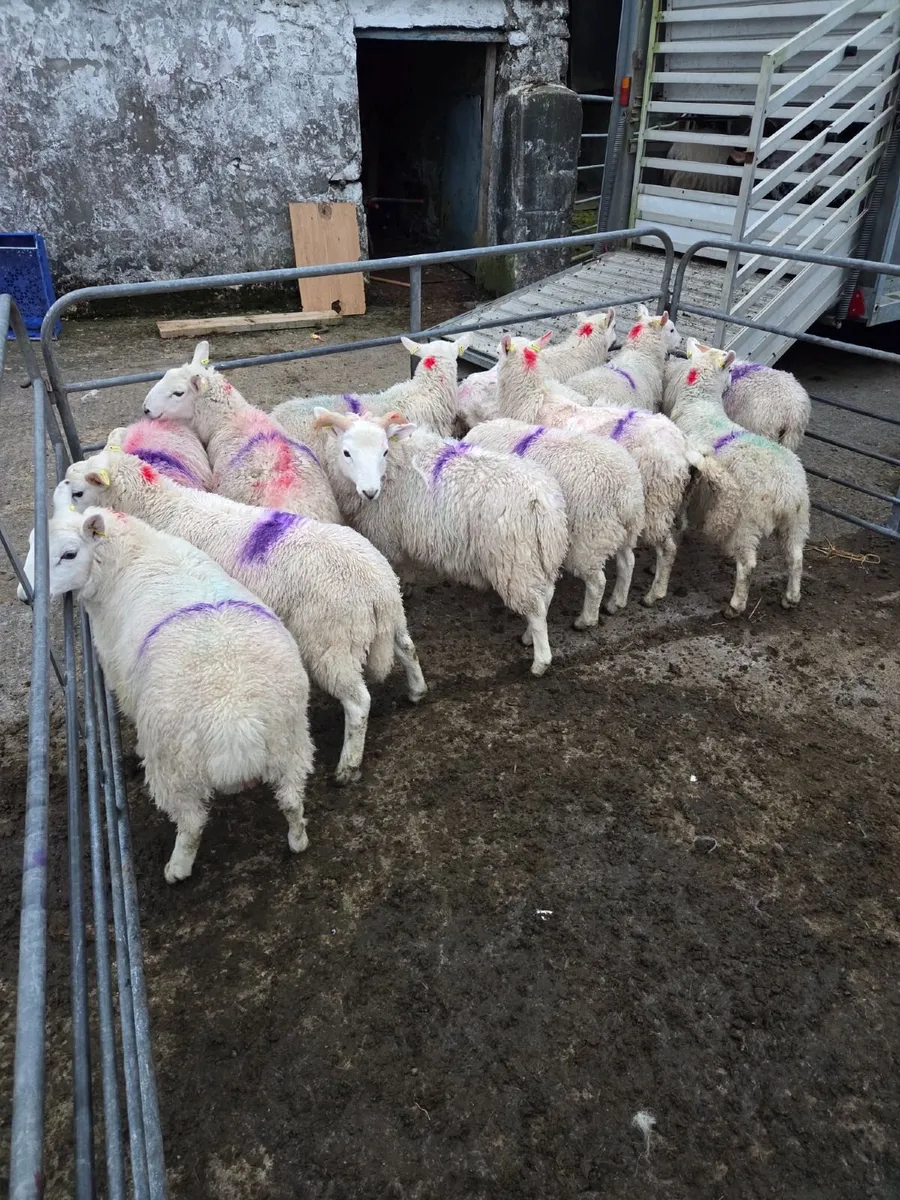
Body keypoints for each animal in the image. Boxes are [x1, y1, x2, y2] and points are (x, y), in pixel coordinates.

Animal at [36, 505, 313, 884]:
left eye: (69, 554)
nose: (27, 596)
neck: (136, 553)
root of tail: (235, 720)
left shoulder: (116, 670)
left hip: (175, 768)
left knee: (192, 823)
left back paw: (177, 868)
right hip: (291, 744)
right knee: (291, 799)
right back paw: (297, 839)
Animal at [65, 450, 427, 784]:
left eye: (78, 492)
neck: (162, 508)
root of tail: (377, 586)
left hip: (331, 642)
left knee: (358, 702)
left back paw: (347, 766)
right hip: (391, 620)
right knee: (408, 648)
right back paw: (417, 691)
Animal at [310, 408, 569, 676]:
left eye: (384, 451)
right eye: (347, 452)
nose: (370, 492)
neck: (397, 465)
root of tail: (542, 501)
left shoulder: (386, 536)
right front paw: (408, 586)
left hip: (514, 562)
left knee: (536, 608)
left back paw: (540, 662)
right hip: (539, 557)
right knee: (546, 595)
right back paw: (528, 636)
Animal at [462, 418, 645, 624]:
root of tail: (626, 494)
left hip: (590, 538)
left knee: (597, 582)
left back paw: (585, 620)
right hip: (624, 531)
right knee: (627, 562)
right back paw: (616, 602)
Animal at [496, 334, 704, 607]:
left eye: (500, 352)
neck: (531, 397)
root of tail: (684, 448)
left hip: (657, 500)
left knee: (667, 547)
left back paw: (654, 593)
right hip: (675, 500)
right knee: (675, 534)